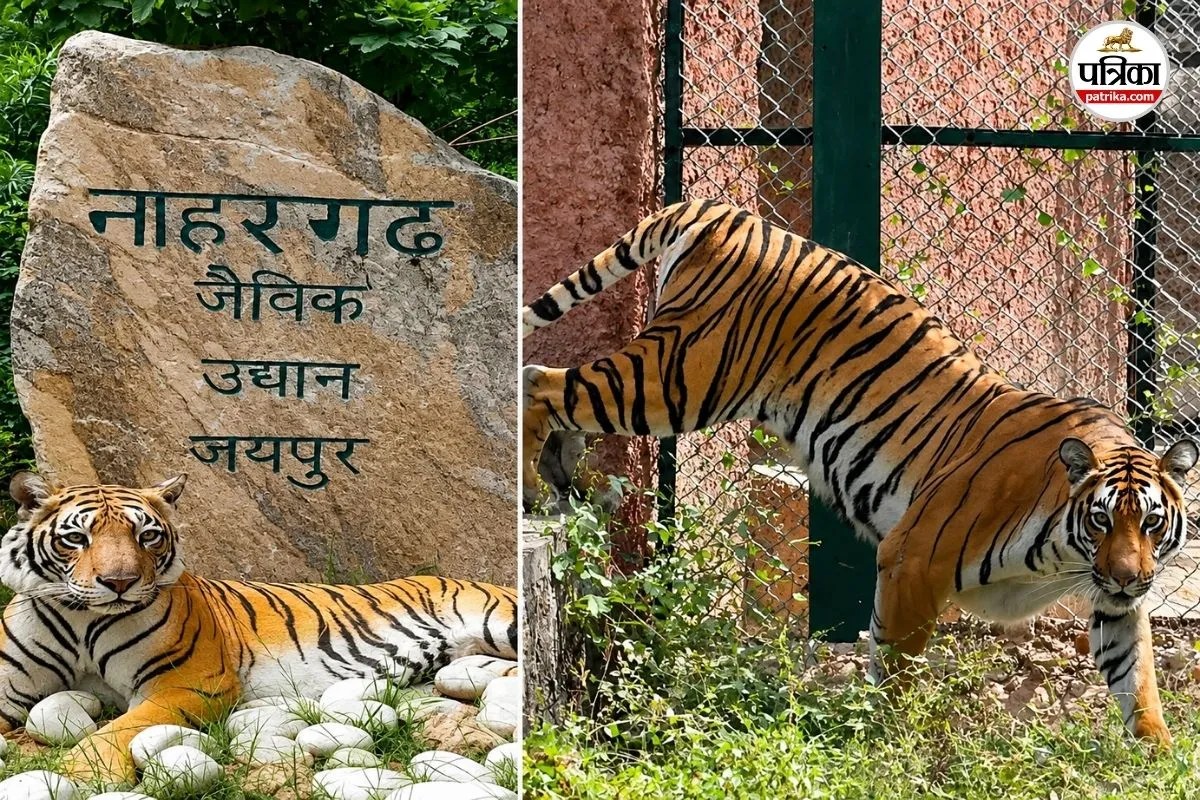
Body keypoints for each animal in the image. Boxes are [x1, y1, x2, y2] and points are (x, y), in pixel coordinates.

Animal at [0, 471, 517, 787]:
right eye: (76, 538)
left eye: (147, 536)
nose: (120, 583)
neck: (82, 619)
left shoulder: (188, 682)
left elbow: (125, 727)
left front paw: (82, 773)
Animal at [522, 199, 1198, 746]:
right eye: (1102, 519)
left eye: (1150, 524)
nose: (1131, 577)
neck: (1066, 551)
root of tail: (719, 210)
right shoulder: (913, 559)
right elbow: (896, 665)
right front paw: (889, 736)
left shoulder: (1116, 608)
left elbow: (1137, 680)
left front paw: (1158, 755)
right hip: (680, 378)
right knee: (542, 381)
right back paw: (531, 488)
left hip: (666, 374)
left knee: (557, 389)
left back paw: (563, 481)